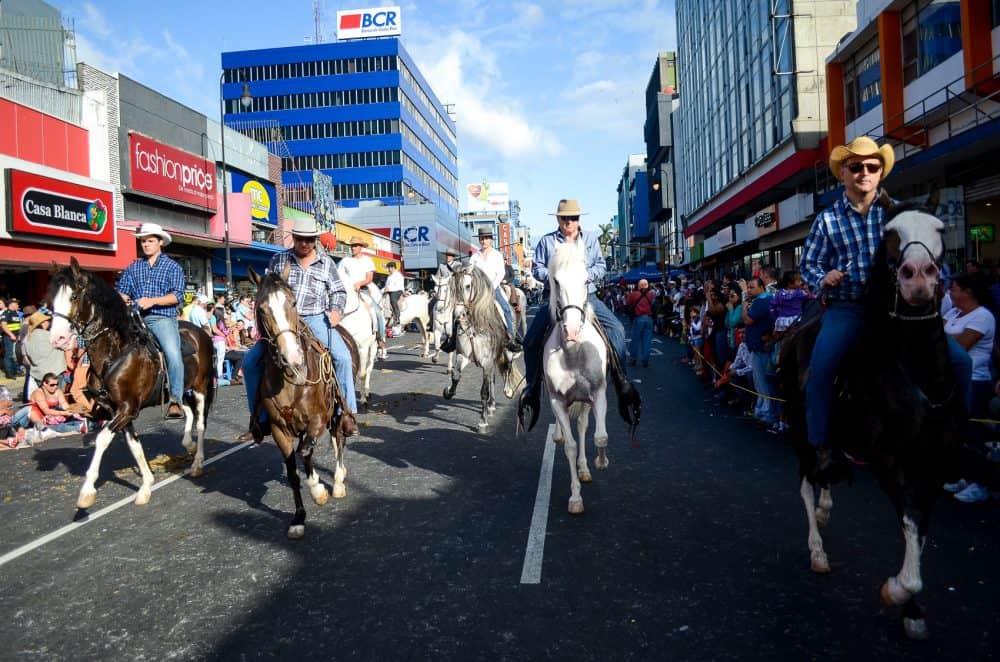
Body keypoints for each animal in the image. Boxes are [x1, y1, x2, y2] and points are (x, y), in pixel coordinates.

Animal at [47, 256, 216, 510]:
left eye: (74, 296)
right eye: (50, 300)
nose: (57, 338)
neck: (115, 352)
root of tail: (202, 333)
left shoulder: (127, 409)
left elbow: (102, 439)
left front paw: (87, 492)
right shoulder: (118, 411)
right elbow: (134, 445)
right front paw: (146, 486)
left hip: (200, 389)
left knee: (201, 423)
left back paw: (197, 463)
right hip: (179, 390)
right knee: (186, 411)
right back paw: (187, 443)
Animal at [247, 264, 360, 540]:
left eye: (293, 302)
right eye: (261, 309)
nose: (293, 357)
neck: (292, 380)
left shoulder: (317, 419)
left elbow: (306, 451)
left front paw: (319, 490)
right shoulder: (280, 430)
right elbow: (293, 471)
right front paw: (299, 516)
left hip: (338, 411)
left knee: (338, 438)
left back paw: (338, 481)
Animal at [340, 268, 378, 408]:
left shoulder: (363, 348)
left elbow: (362, 374)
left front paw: (363, 399)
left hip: (373, 347)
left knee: (369, 368)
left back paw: (366, 393)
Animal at [776, 193, 964, 644]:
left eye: (939, 227)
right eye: (890, 234)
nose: (918, 278)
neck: (915, 372)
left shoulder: (932, 468)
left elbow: (919, 533)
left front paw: (913, 612)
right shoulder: (889, 464)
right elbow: (910, 536)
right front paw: (895, 592)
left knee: (826, 471)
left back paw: (827, 504)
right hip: (799, 430)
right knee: (806, 484)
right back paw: (817, 548)